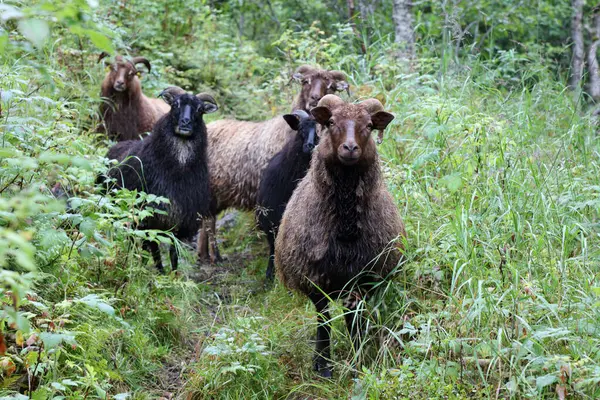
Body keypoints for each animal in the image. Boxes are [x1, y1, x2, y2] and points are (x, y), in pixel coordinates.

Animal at [101, 86, 218, 270]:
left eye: (200, 110)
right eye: (175, 104)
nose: (185, 123)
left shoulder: (180, 222)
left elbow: (173, 252)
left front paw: (173, 273)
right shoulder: (150, 217)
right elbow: (154, 247)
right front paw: (159, 271)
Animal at [254, 109, 318, 282]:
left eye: (319, 130)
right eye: (301, 128)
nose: (310, 146)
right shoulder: (271, 217)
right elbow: (273, 245)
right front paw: (270, 274)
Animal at [274, 94, 406, 378]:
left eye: (369, 125)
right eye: (332, 122)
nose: (350, 148)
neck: (345, 227)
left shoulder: (360, 279)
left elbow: (352, 319)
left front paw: (358, 360)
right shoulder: (314, 278)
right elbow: (323, 320)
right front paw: (322, 365)